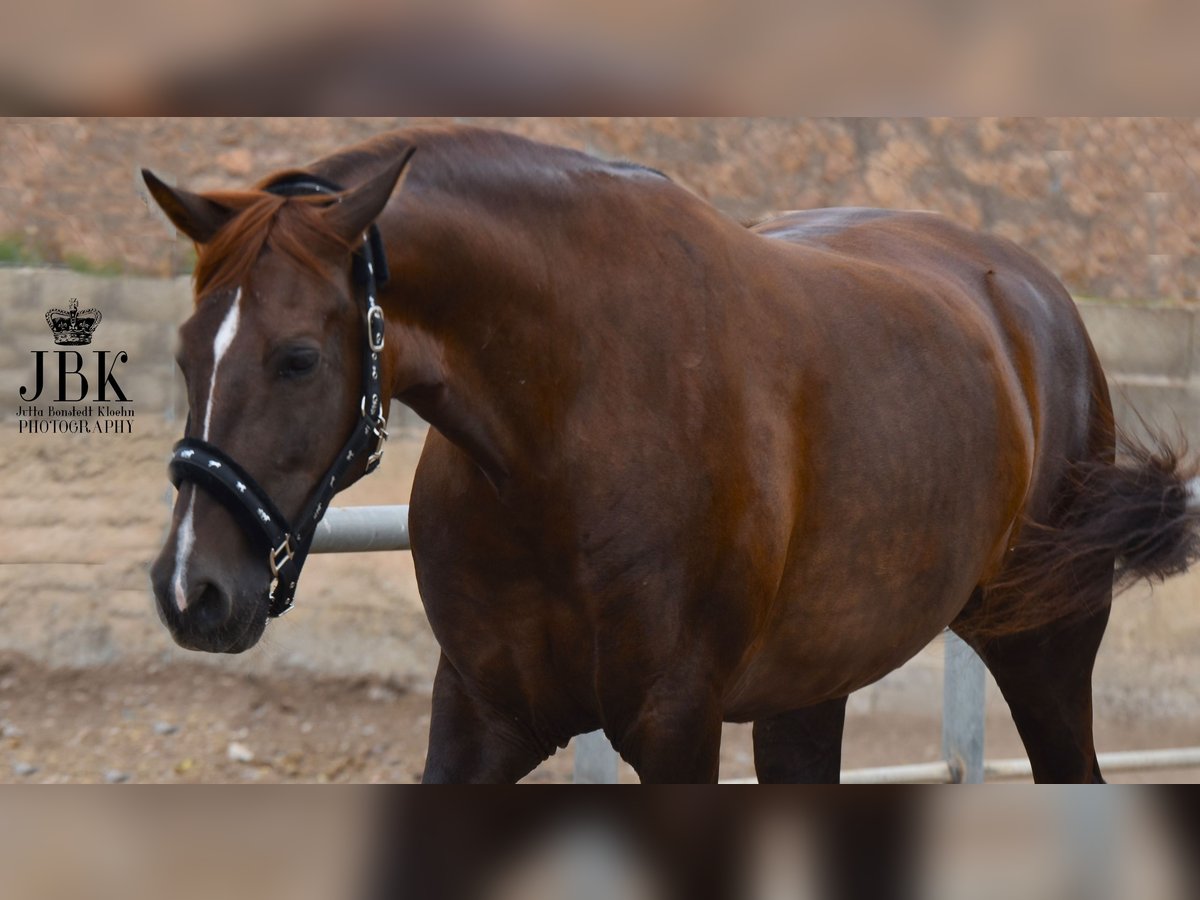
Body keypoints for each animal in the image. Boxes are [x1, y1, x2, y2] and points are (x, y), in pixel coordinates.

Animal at [145, 127, 1195, 782]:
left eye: (299, 357)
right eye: (185, 350)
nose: (193, 591)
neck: (566, 427)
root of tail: (1033, 297)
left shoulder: (674, 724)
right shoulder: (482, 714)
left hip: (1046, 650)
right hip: (809, 690)